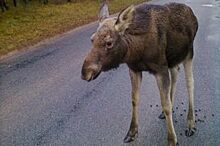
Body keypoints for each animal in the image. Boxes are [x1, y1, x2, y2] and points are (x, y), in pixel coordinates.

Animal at [81, 1, 199, 146]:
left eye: (109, 43)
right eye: (92, 39)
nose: (85, 72)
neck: (136, 51)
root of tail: (193, 14)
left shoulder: (160, 68)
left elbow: (165, 104)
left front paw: (172, 139)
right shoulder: (134, 69)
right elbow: (134, 99)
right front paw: (131, 132)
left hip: (189, 53)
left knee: (190, 83)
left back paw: (190, 123)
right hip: (172, 59)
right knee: (176, 74)